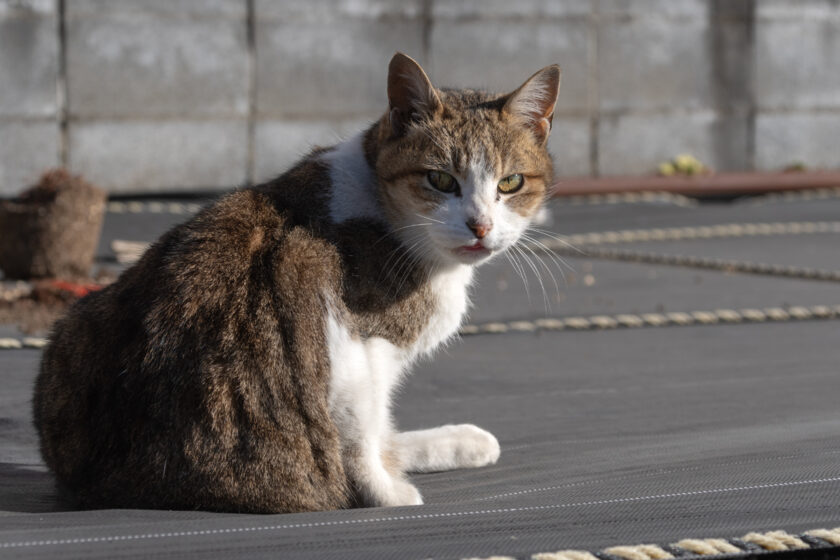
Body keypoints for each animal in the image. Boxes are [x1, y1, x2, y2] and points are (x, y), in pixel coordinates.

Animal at [32, 52, 560, 512]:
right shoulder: (357, 342)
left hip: (75, 326)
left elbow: (373, 431)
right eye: (440, 180)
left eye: (510, 184)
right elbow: (360, 433)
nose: (480, 226)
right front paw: (388, 492)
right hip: (298, 270)